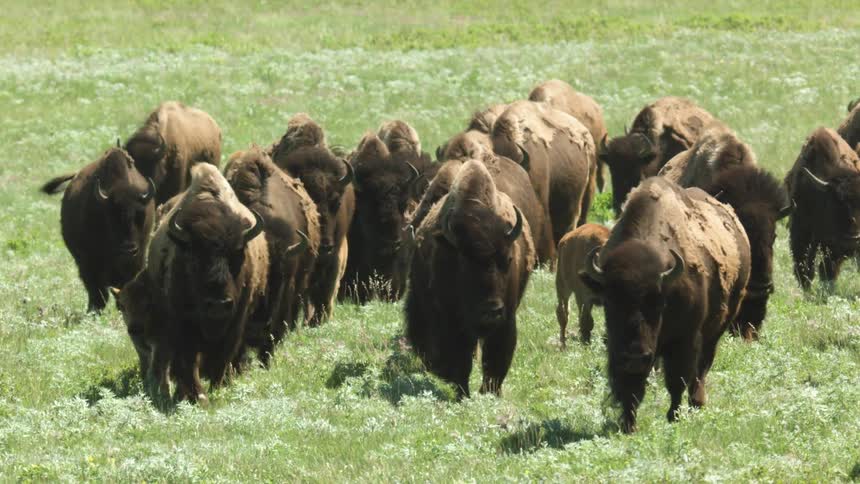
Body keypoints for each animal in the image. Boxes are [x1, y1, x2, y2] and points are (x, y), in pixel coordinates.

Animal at [41, 147, 155, 312]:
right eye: (111, 215)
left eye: (140, 214)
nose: (128, 248)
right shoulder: (90, 260)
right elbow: (97, 288)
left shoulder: (137, 258)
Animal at [405, 160, 535, 398]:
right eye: (465, 263)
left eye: (508, 259)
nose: (491, 310)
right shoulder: (450, 320)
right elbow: (459, 360)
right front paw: (462, 393)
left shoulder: (505, 321)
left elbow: (495, 361)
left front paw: (490, 393)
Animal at [581, 177, 750, 432]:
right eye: (610, 301)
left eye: (658, 302)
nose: (635, 357)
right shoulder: (618, 348)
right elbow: (630, 388)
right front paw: (628, 424)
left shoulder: (684, 340)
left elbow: (677, 380)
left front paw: (673, 416)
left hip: (716, 329)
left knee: (702, 368)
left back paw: (697, 402)